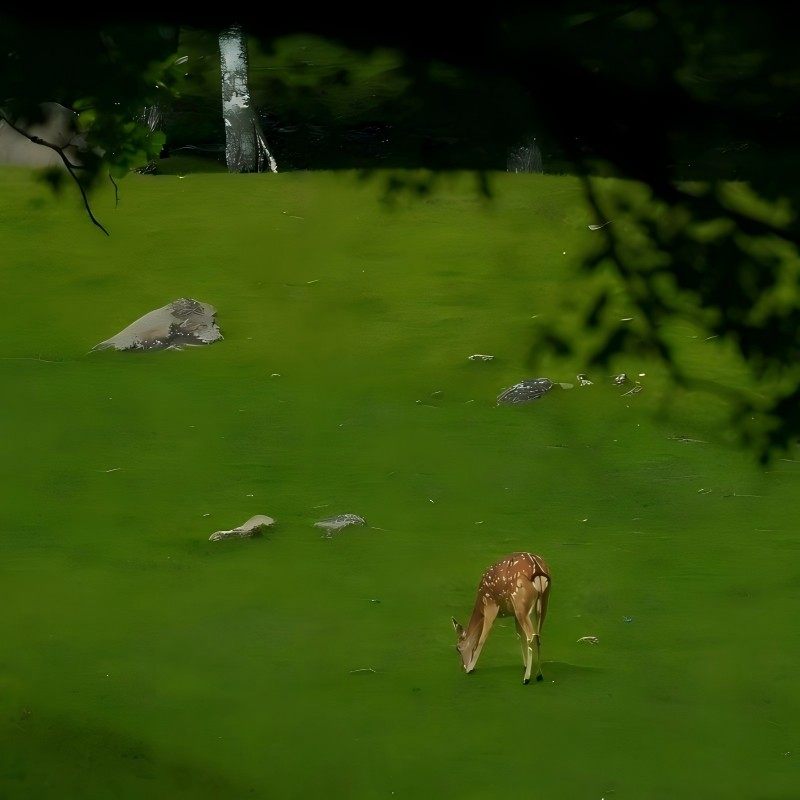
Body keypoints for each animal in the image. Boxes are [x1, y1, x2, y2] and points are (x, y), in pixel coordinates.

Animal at [452, 552, 551, 684]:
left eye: (458, 648)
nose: (463, 667)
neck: (480, 606)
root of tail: (537, 567)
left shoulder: (490, 605)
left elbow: (482, 638)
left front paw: (471, 668)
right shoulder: (513, 613)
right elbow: (520, 635)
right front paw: (524, 665)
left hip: (520, 603)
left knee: (531, 635)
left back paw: (527, 678)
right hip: (542, 601)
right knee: (538, 634)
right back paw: (539, 675)